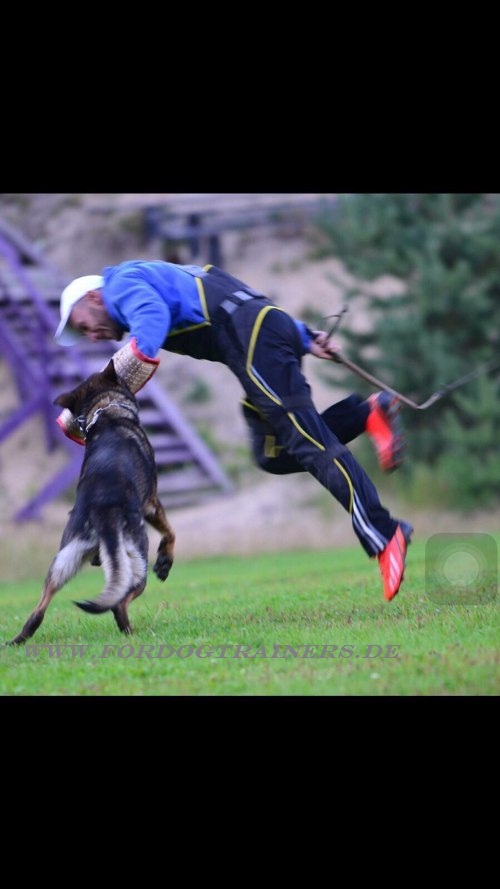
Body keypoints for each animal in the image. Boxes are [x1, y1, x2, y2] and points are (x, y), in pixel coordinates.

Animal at [7, 360, 177, 644]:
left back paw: (19, 639)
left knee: (38, 611)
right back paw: (132, 633)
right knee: (120, 603)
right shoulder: (151, 503)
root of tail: (102, 512)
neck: (106, 413)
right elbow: (170, 532)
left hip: (62, 563)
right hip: (136, 559)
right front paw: (165, 562)